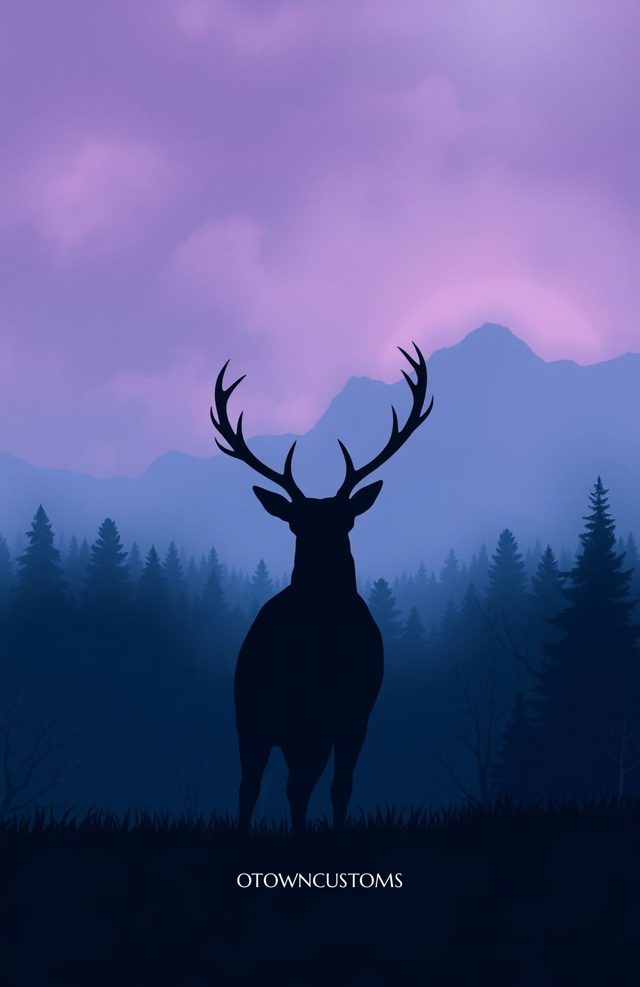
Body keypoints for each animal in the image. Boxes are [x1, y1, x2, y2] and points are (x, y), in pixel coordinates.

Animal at [210, 343, 433, 832]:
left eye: (345, 519)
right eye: (296, 522)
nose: (320, 553)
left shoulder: (353, 717)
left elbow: (339, 789)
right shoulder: (293, 718)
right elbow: (295, 790)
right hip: (251, 715)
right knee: (251, 787)